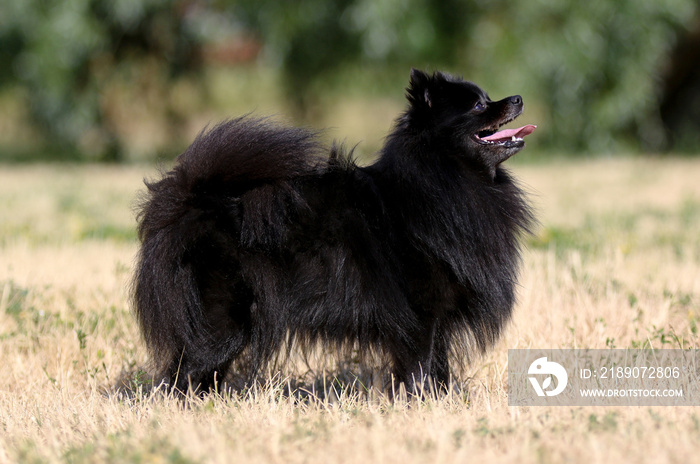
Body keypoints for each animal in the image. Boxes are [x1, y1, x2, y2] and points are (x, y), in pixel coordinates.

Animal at [133, 70, 536, 396]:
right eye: (480, 105)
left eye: (488, 97)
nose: (518, 97)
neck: (444, 180)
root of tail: (194, 201)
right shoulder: (421, 314)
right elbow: (420, 367)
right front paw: (422, 405)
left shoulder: (438, 321)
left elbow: (438, 367)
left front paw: (441, 401)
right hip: (222, 324)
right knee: (178, 375)